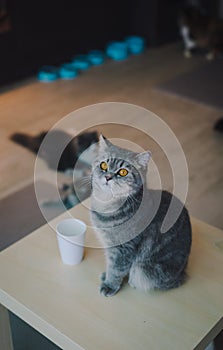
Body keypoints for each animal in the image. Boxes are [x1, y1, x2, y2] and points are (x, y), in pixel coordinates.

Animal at [90, 135, 192, 296]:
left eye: (123, 172)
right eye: (103, 165)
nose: (108, 177)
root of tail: (183, 272)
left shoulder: (123, 249)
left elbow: (116, 270)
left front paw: (109, 285)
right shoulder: (110, 246)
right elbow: (111, 265)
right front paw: (106, 276)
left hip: (142, 271)